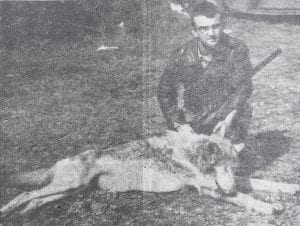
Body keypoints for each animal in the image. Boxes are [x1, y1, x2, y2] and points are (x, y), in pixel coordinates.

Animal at [0, 110, 298, 219]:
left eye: (233, 169)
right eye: (221, 168)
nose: (231, 189)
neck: (193, 155)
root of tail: (61, 160)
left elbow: (262, 182)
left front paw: (290, 188)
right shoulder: (210, 189)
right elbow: (248, 198)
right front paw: (270, 207)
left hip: (71, 190)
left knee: (35, 199)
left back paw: (24, 214)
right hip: (69, 185)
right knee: (25, 193)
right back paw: (8, 212)